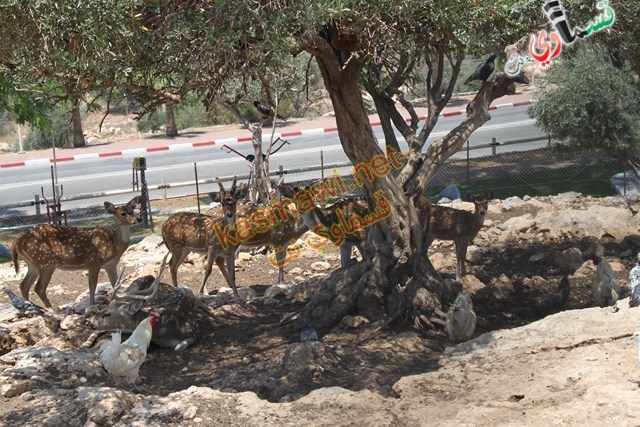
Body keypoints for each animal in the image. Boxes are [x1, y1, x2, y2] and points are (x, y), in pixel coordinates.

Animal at [10, 196, 141, 310]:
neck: (114, 245)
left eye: (132, 210)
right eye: (123, 213)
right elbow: (92, 286)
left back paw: (30, 305)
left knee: (24, 285)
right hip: (46, 262)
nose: (138, 219)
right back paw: (51, 309)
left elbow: (115, 285)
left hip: (33, 264)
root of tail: (16, 241)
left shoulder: (111, 265)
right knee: (39, 288)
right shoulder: (94, 262)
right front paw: (92, 305)